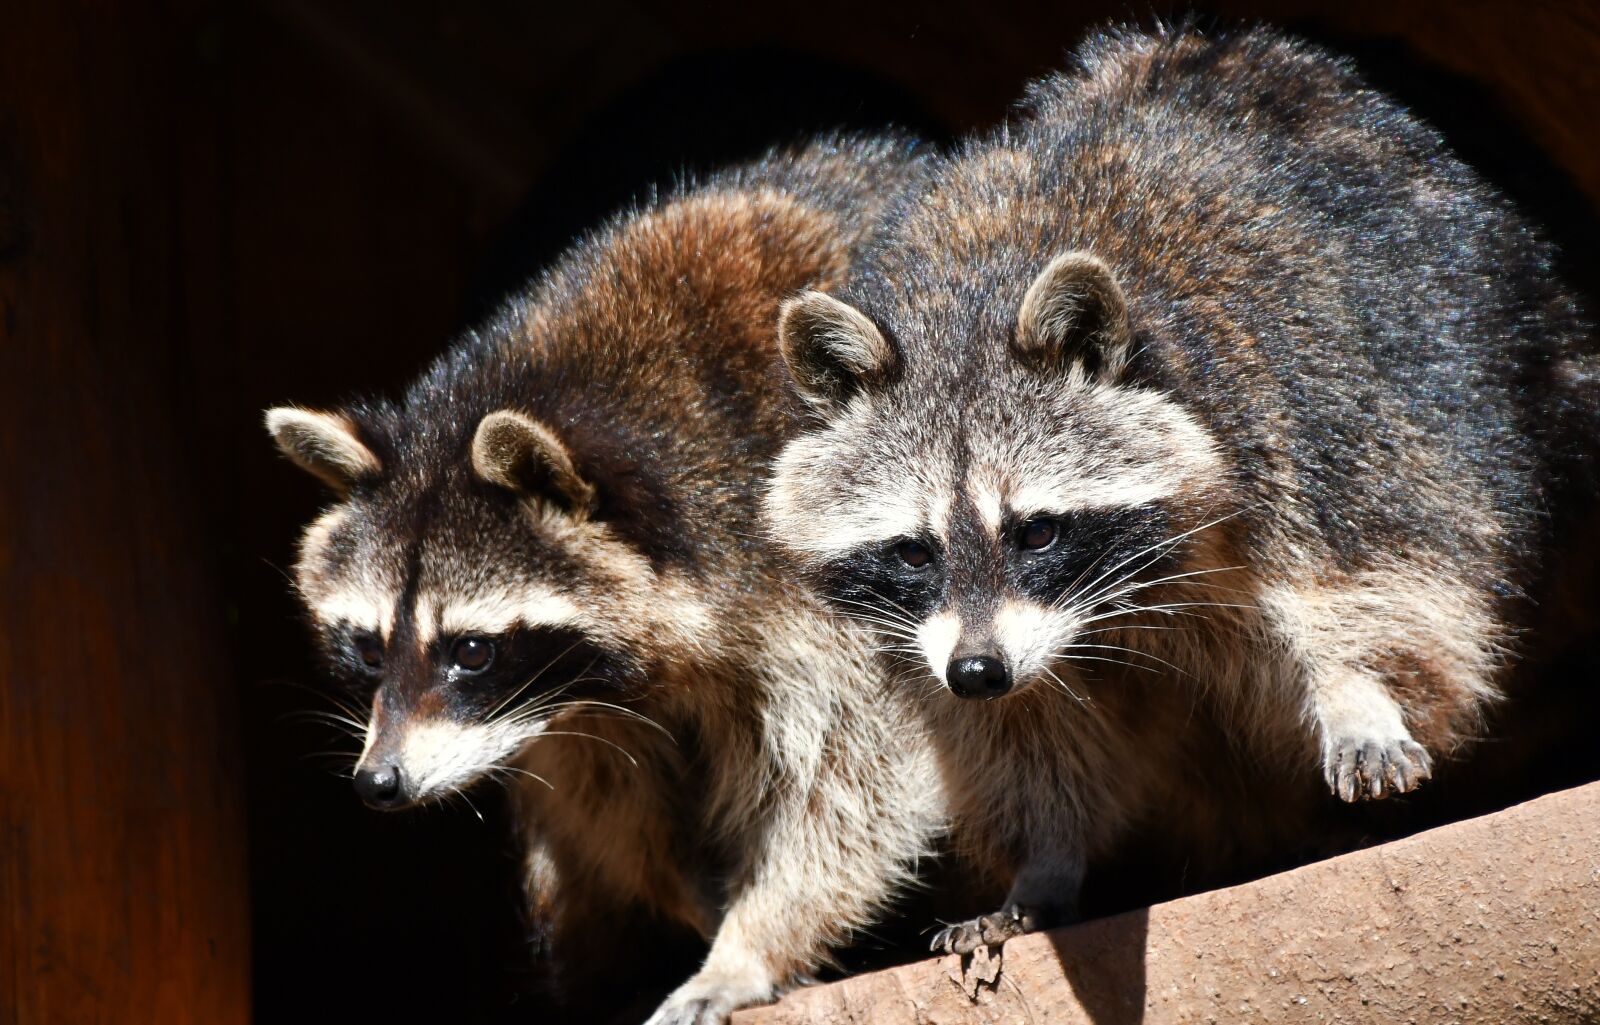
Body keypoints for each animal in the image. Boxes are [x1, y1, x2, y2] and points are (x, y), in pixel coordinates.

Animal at [260, 135, 934, 1023]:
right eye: (369, 650)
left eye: (470, 651)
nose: (380, 781)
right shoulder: (559, 707)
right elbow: (608, 799)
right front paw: (704, 903)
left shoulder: (838, 565)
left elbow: (863, 771)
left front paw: (752, 941)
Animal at [761, 23, 1600, 953]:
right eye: (913, 550)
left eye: (1036, 531)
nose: (978, 669)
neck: (972, 303)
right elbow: (1026, 733)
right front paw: (1044, 863)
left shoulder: (1303, 394)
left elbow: (1379, 570)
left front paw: (1358, 689)